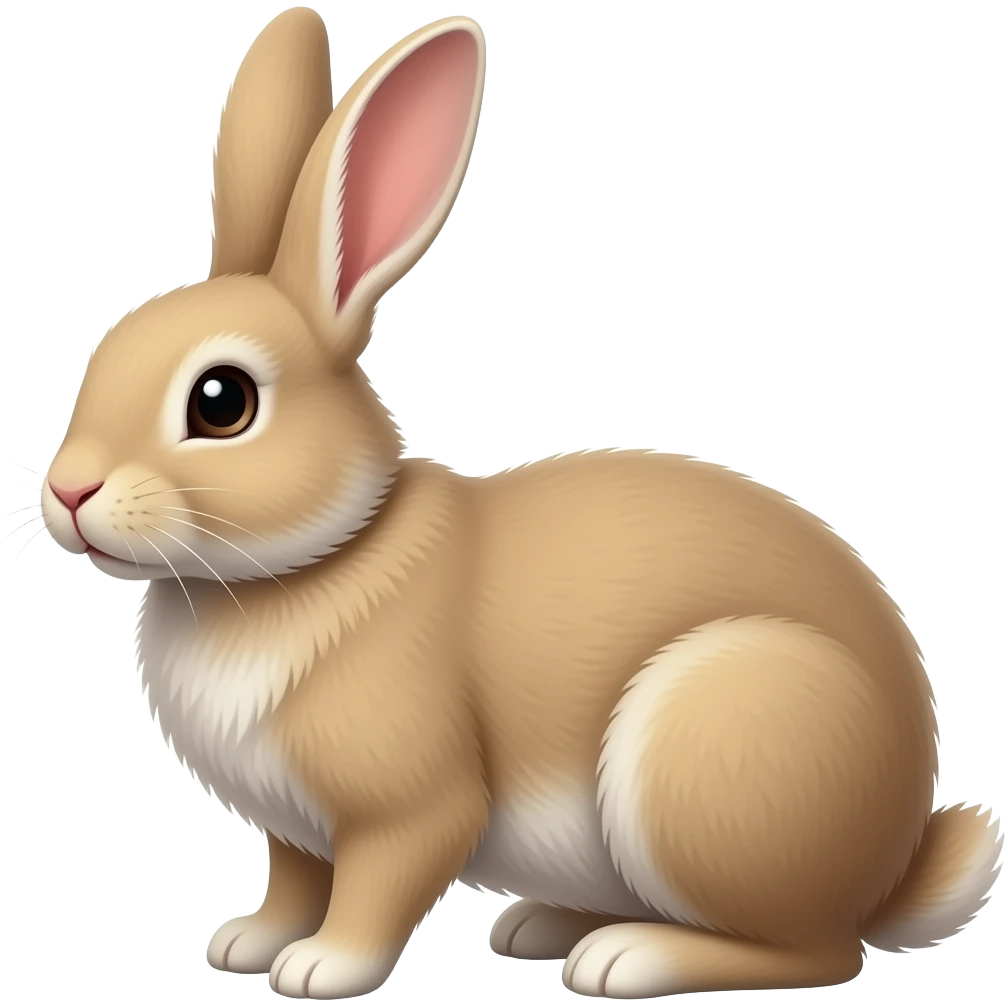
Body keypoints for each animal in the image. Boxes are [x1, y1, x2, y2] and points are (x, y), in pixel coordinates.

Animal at [38, 8, 1002, 1001]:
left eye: (221, 402)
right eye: (101, 350)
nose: (68, 490)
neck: (317, 559)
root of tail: (894, 862)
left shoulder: (408, 805)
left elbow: (378, 884)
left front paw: (321, 967)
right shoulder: (293, 827)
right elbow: (292, 879)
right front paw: (246, 943)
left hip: (711, 746)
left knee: (817, 951)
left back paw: (623, 955)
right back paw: (542, 924)